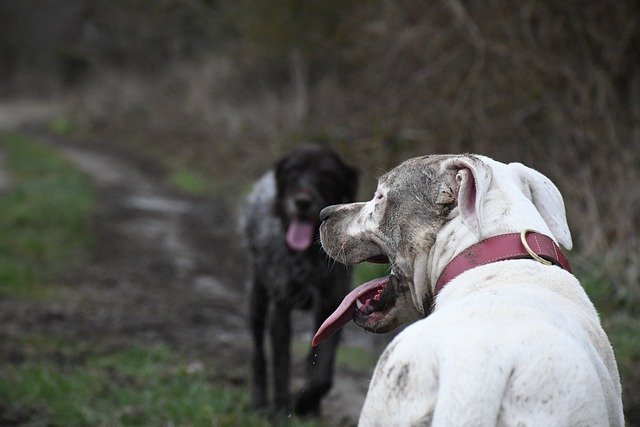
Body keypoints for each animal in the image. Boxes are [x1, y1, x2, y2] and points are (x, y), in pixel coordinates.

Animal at [242, 144, 358, 418]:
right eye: (293, 171)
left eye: (328, 175)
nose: (302, 202)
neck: (311, 257)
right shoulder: (281, 306)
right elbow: (281, 363)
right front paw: (281, 411)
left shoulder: (332, 305)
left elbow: (322, 372)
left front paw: (306, 405)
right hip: (257, 297)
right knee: (258, 352)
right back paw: (259, 401)